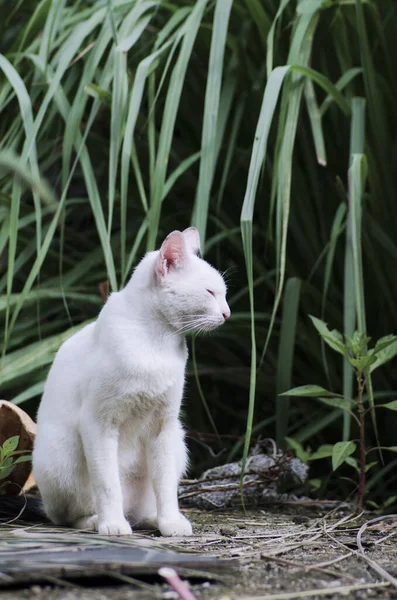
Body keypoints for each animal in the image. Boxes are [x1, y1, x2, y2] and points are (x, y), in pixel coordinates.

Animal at [32, 227, 230, 536]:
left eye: (224, 294)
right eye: (210, 292)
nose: (227, 313)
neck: (157, 342)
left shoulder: (164, 426)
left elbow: (165, 486)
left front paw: (171, 523)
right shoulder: (98, 423)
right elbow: (107, 485)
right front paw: (112, 525)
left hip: (178, 441)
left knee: (141, 508)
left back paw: (154, 519)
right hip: (61, 456)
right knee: (67, 515)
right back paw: (97, 521)